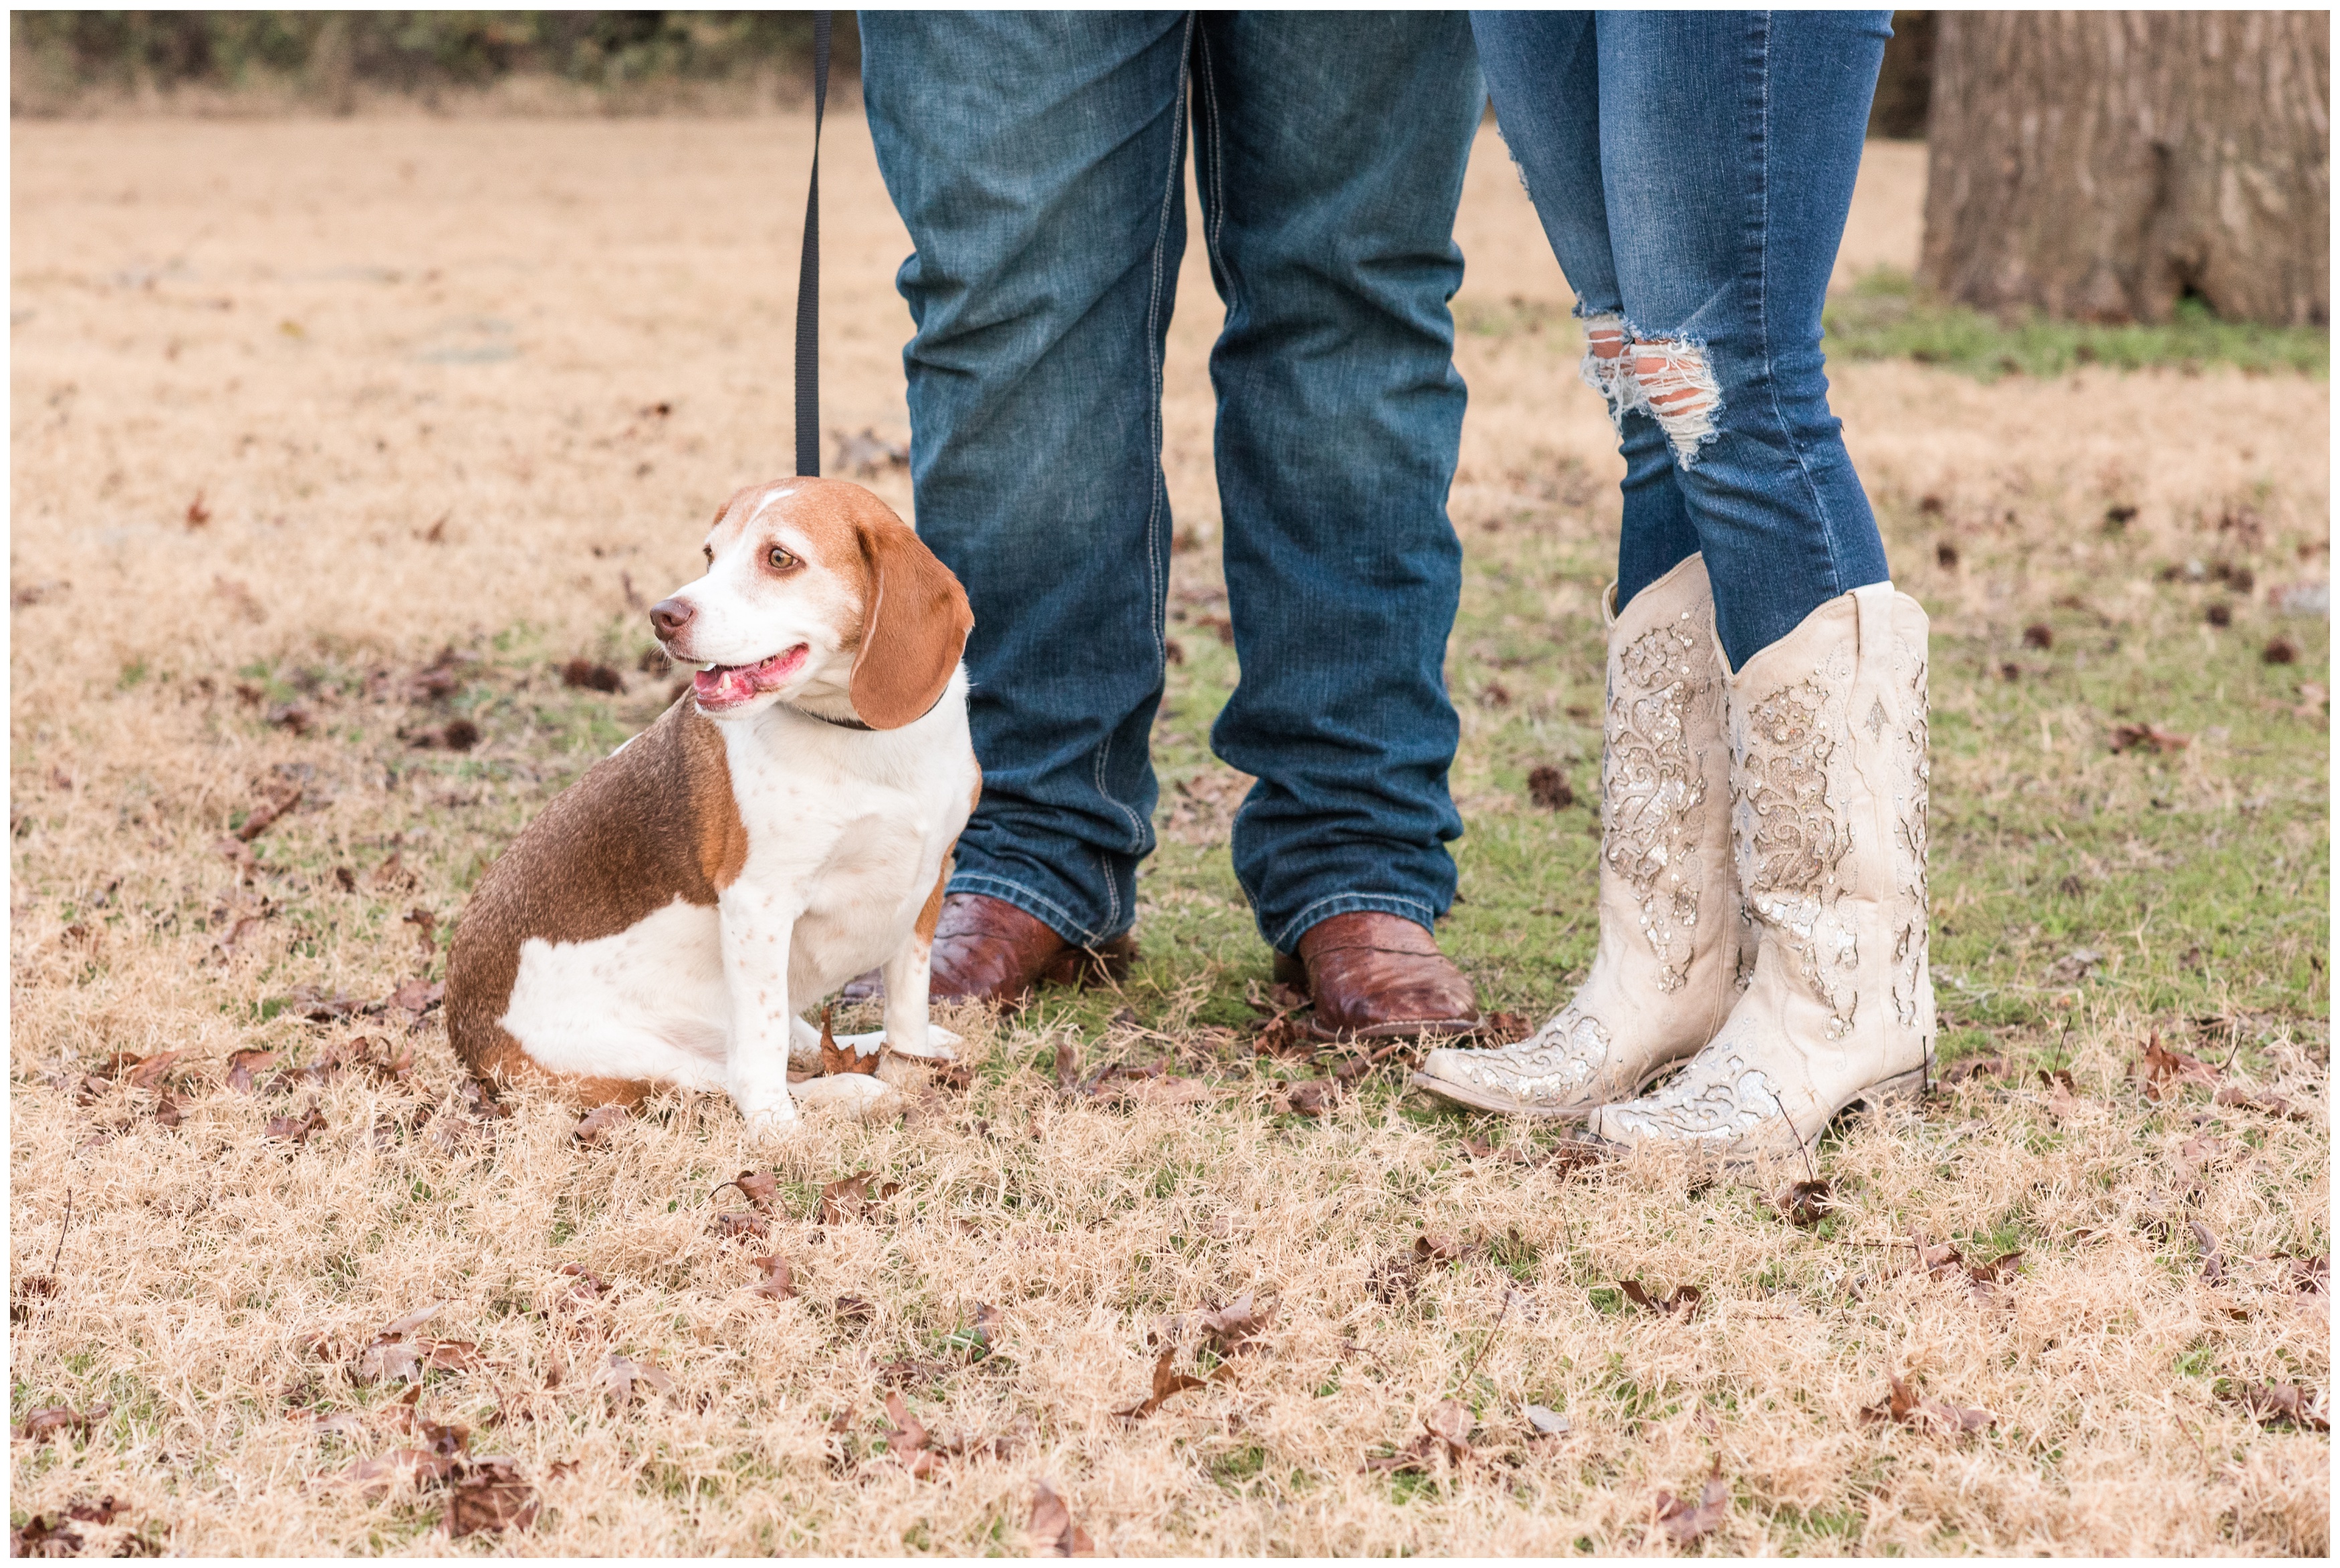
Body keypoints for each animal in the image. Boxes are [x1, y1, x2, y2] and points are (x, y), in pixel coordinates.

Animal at [442, 479, 973, 1132]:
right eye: (710, 555)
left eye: (780, 558)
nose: (663, 615)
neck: (864, 739)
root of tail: (466, 1034)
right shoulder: (759, 905)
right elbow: (760, 1054)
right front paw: (777, 1130)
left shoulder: (928, 880)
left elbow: (907, 1005)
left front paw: (910, 1059)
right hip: (647, 1061)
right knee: (738, 1074)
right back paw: (845, 1092)